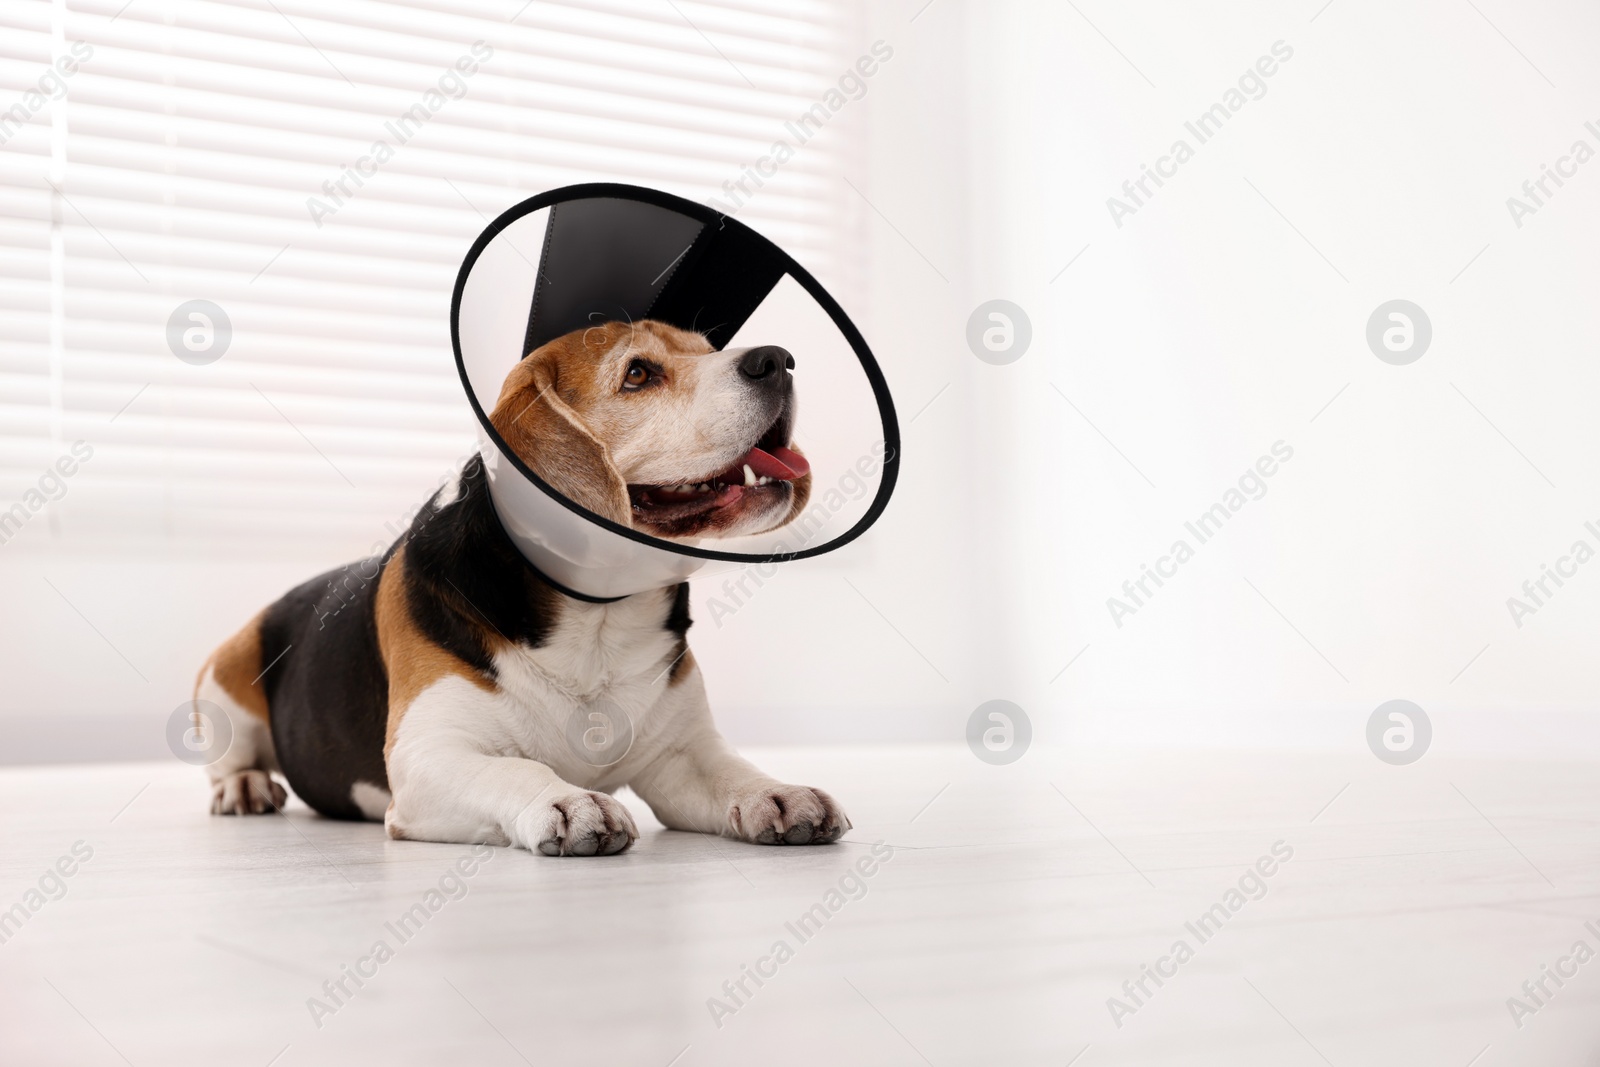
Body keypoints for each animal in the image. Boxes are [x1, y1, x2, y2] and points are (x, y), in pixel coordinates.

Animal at [195, 321, 851, 857]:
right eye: (638, 374)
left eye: (708, 349)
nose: (778, 359)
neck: (596, 617)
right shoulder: (428, 757)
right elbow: (515, 771)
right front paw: (567, 802)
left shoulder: (682, 754)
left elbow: (730, 771)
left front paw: (777, 793)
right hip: (226, 676)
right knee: (230, 759)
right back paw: (244, 787)